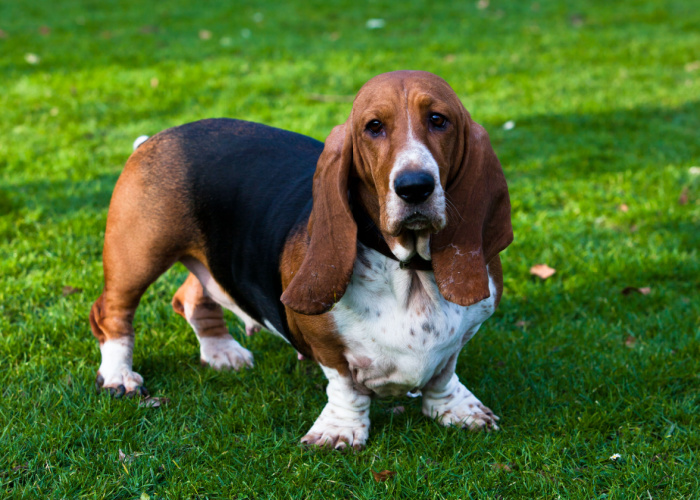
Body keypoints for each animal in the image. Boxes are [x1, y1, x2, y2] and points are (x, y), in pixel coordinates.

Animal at [90, 70, 512, 450]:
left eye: (438, 120)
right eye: (374, 127)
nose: (414, 187)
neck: (408, 268)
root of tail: (156, 137)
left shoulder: (464, 333)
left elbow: (443, 373)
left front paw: (457, 409)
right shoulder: (325, 344)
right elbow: (345, 386)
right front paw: (339, 431)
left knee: (191, 294)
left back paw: (221, 351)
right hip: (138, 254)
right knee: (111, 312)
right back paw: (119, 375)